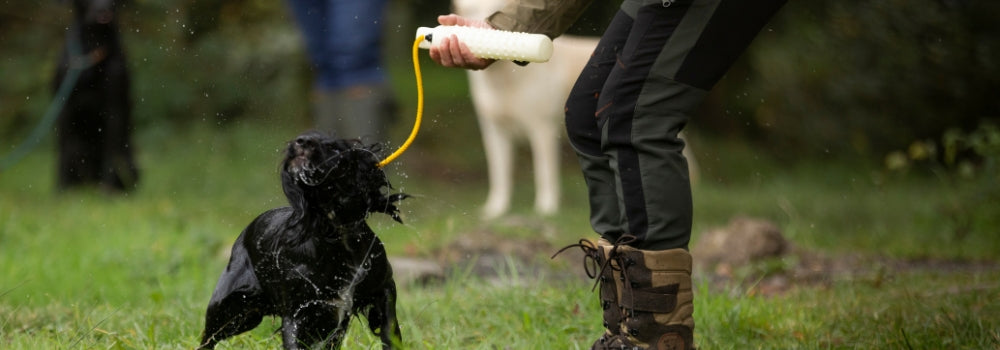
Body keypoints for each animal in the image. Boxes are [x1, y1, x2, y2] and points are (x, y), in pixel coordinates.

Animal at [54, 0, 139, 191]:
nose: (103, 10)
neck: (94, 42)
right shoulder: (63, 108)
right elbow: (64, 149)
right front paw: (61, 191)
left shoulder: (115, 109)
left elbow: (110, 153)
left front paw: (107, 191)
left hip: (129, 158)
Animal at [199, 133, 406, 348]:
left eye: (334, 147)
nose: (302, 140)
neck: (337, 235)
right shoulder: (297, 313)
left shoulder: (383, 287)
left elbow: (390, 330)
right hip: (228, 308)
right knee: (208, 338)